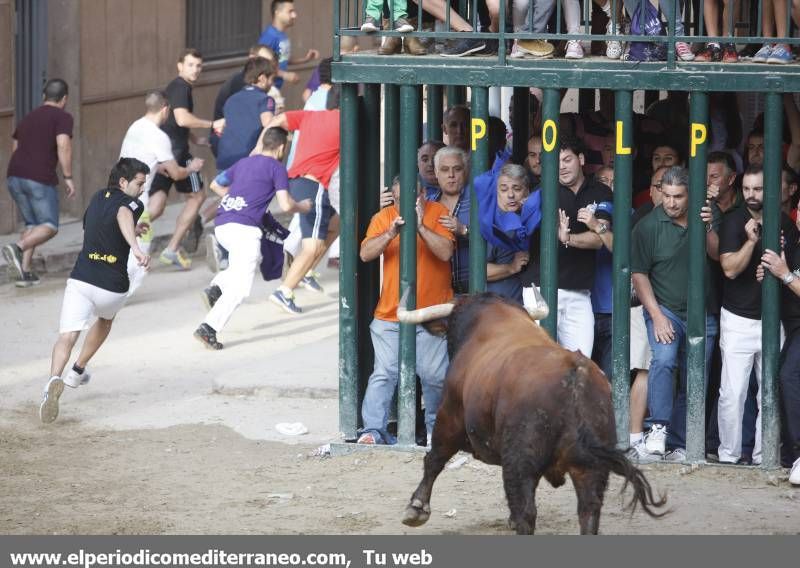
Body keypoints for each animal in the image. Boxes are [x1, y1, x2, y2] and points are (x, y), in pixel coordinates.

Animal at [400, 292, 668, 532]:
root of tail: (576, 374)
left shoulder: (450, 416)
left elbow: (435, 459)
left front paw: (417, 507)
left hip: (521, 460)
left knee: (526, 512)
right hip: (590, 466)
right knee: (588, 511)